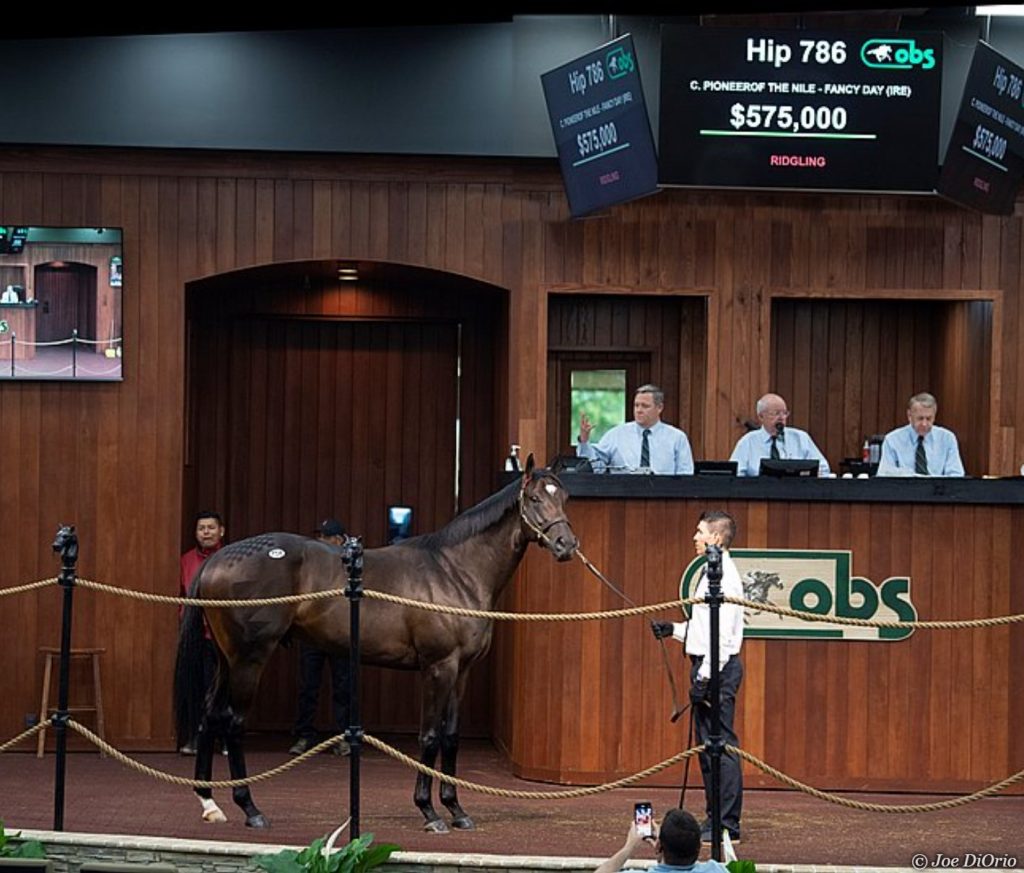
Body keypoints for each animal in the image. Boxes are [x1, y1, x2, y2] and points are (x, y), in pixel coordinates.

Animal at [176, 456, 577, 831]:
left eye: (565, 498)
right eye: (535, 498)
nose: (567, 545)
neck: (454, 572)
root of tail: (217, 558)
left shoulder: (461, 671)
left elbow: (450, 737)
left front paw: (456, 809)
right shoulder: (438, 667)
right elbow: (430, 736)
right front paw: (429, 811)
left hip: (227, 660)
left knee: (210, 715)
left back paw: (209, 801)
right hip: (249, 659)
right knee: (233, 722)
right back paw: (250, 808)